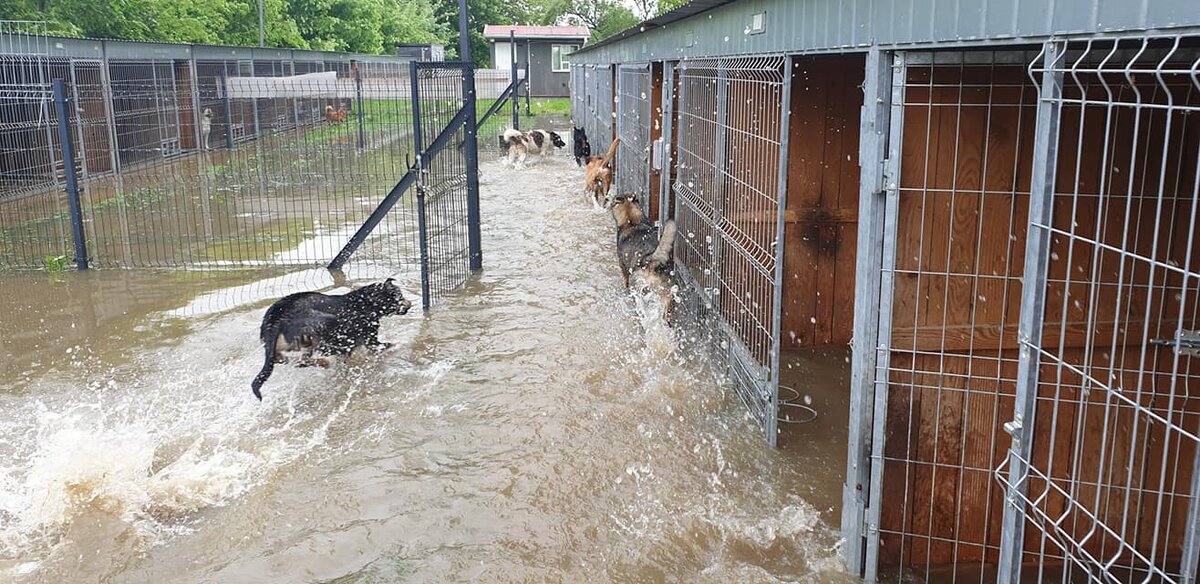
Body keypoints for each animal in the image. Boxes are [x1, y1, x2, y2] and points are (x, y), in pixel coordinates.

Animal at [248, 280, 412, 400]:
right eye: (399, 296)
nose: (410, 304)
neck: (366, 303)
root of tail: (275, 318)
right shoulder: (370, 339)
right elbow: (386, 345)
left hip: (288, 344)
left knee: (291, 360)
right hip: (323, 323)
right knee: (310, 357)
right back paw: (324, 362)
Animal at [609, 193, 676, 321]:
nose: (607, 201)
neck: (631, 221)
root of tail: (651, 259)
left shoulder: (623, 265)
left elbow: (625, 280)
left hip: (640, 284)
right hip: (665, 288)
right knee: (667, 302)